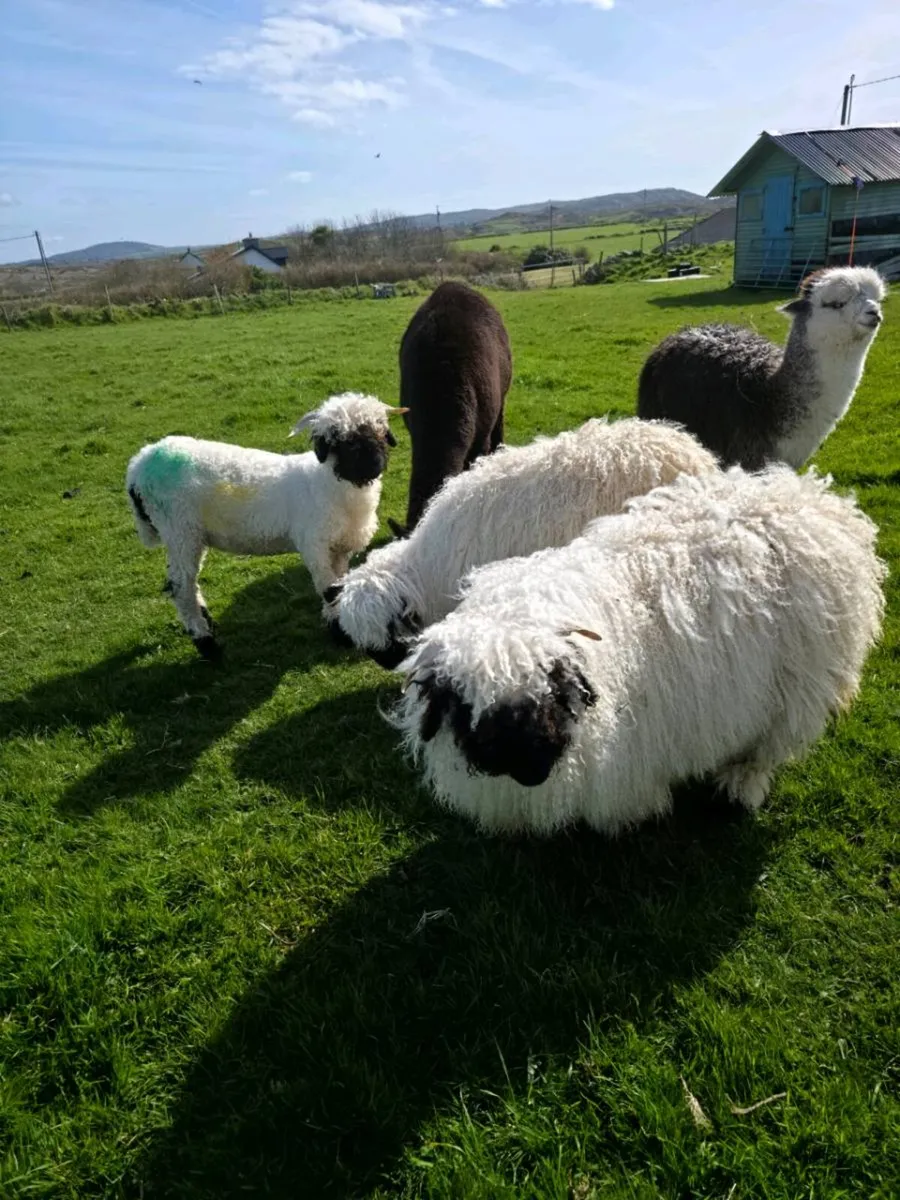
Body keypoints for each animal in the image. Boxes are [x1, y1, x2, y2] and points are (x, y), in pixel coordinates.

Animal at [126, 392, 404, 659]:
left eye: (381, 431)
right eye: (340, 441)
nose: (373, 463)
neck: (330, 484)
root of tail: (138, 465)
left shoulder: (339, 547)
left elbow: (339, 584)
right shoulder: (314, 545)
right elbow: (329, 590)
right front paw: (341, 635)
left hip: (190, 534)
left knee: (189, 584)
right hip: (179, 529)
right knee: (181, 587)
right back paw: (207, 644)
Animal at [390, 465, 886, 836]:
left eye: (553, 692)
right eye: (468, 710)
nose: (535, 769)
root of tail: (812, 497)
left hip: (799, 687)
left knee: (768, 745)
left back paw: (740, 783)